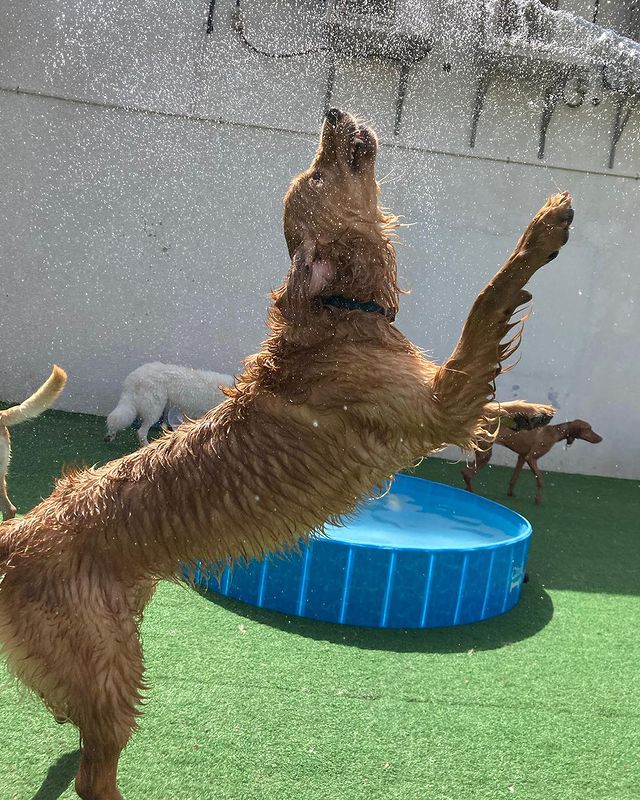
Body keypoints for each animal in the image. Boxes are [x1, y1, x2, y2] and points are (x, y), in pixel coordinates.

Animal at [462, 418, 604, 500]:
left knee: (466, 472)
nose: (601, 439)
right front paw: (538, 499)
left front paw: (511, 493)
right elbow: (540, 480)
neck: (555, 432)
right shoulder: (531, 458)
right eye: (588, 429)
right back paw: (471, 492)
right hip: (485, 454)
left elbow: (514, 478)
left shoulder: (522, 457)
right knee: (467, 473)